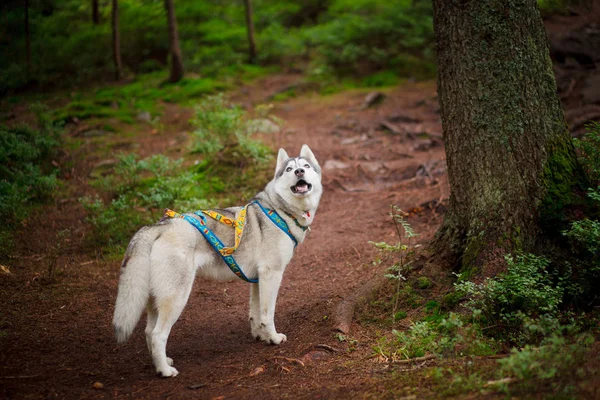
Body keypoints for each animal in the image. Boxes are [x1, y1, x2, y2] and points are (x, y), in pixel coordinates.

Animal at [110, 145, 322, 376]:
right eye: (289, 169)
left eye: (306, 166)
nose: (299, 172)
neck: (280, 210)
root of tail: (156, 227)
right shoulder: (271, 274)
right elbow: (268, 314)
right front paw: (273, 339)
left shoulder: (257, 279)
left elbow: (255, 314)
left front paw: (260, 336)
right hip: (176, 297)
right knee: (158, 334)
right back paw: (165, 371)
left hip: (155, 298)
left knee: (148, 331)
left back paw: (161, 363)